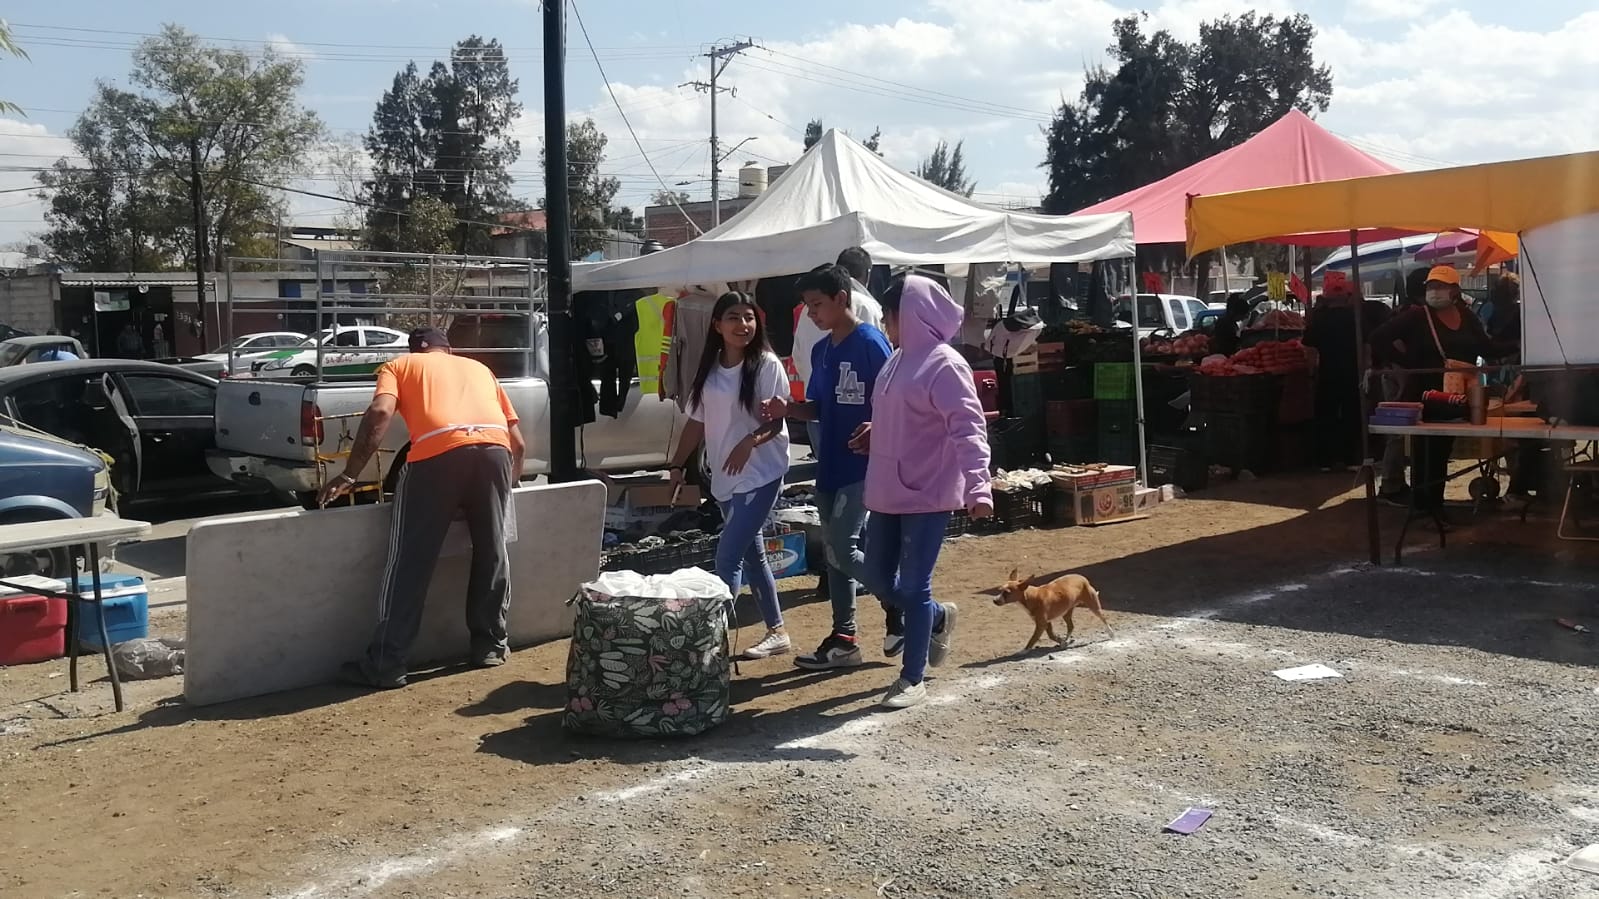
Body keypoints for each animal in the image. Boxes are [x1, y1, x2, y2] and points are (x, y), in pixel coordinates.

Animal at [984, 569, 1112, 646]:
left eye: (1007, 593)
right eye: (1000, 590)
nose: (994, 600)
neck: (1030, 597)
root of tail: (1082, 577)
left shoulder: (1041, 624)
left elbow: (1032, 640)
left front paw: (1022, 652)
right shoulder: (1046, 623)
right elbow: (1051, 635)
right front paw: (1061, 641)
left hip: (1094, 607)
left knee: (1103, 619)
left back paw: (1111, 634)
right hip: (1066, 612)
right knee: (1071, 626)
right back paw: (1066, 640)